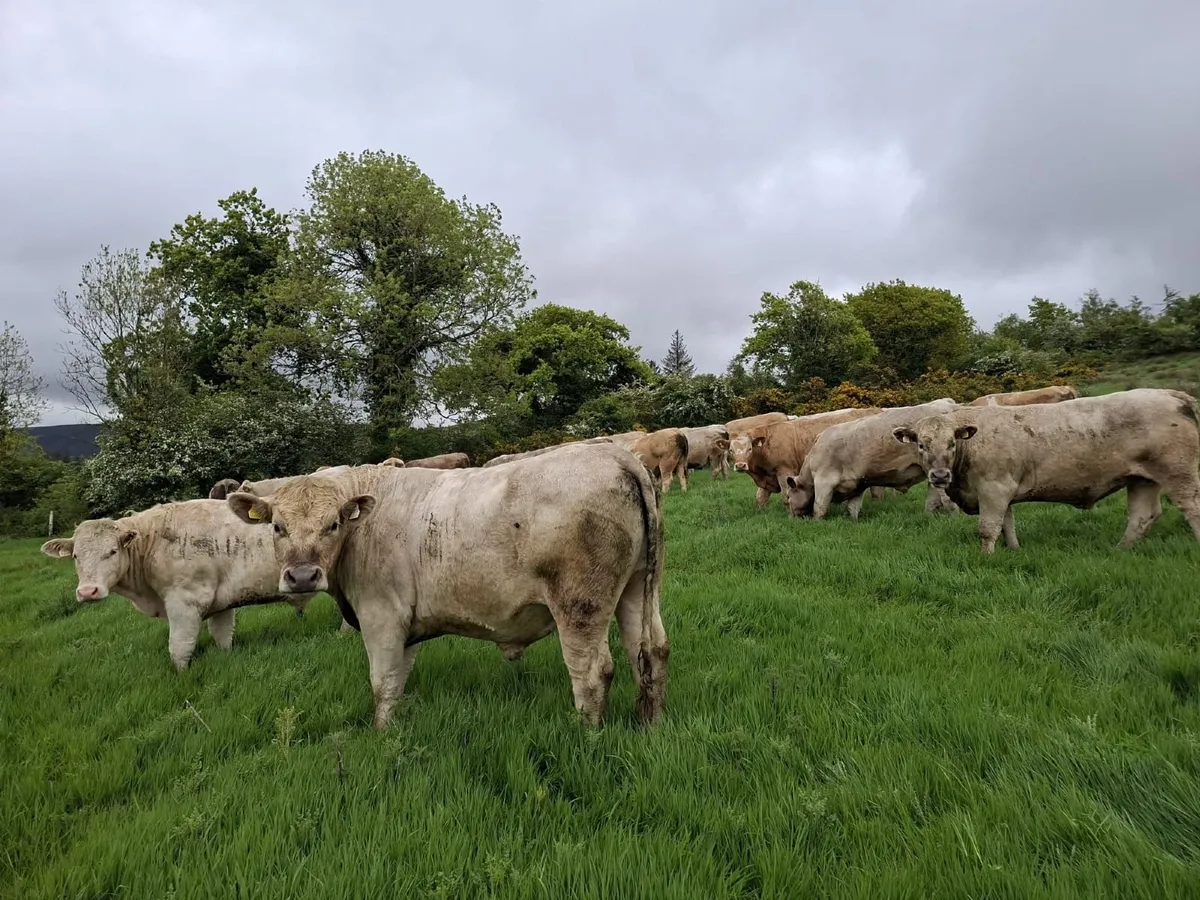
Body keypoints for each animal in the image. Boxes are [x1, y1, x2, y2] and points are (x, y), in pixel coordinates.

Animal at [40, 500, 317, 671]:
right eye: (75, 556)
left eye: (112, 551)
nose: (88, 591)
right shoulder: (223, 601)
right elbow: (223, 637)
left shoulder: (186, 601)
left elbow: (179, 648)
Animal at [225, 442, 670, 730]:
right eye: (277, 527)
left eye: (332, 524)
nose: (302, 576)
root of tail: (617, 456)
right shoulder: (406, 624)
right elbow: (398, 682)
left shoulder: (381, 615)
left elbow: (381, 683)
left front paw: (380, 737)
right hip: (636, 590)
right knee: (651, 653)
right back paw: (649, 724)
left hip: (580, 604)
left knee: (593, 672)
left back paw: (586, 736)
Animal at [740, 408, 884, 512]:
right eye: (733, 450)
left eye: (749, 448)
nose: (740, 465)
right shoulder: (768, 476)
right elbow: (761, 497)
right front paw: (759, 512)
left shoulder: (784, 471)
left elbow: (786, 496)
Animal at [785, 399, 960, 519]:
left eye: (788, 497)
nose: (791, 517)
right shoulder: (857, 484)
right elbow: (852, 508)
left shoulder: (824, 481)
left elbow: (819, 508)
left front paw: (816, 521)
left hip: (938, 472)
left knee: (946, 499)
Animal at [893, 388, 1200, 553]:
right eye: (921, 444)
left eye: (952, 442)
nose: (940, 476)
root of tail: (1173, 394)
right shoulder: (1002, 492)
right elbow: (1007, 524)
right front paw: (1014, 551)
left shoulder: (993, 489)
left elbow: (988, 528)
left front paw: (985, 556)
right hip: (1142, 479)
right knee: (1142, 516)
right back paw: (1120, 551)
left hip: (1179, 474)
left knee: (1192, 509)